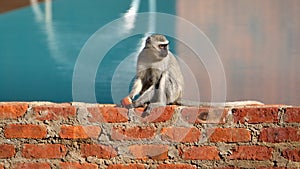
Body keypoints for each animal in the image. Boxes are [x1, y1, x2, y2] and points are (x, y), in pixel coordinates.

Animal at [120, 34, 262, 116]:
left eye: (166, 46)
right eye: (161, 46)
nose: (166, 51)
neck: (152, 56)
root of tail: (178, 96)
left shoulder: (162, 63)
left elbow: (156, 82)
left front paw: (137, 101)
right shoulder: (142, 56)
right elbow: (140, 78)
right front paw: (130, 97)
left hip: (174, 92)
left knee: (164, 76)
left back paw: (160, 103)